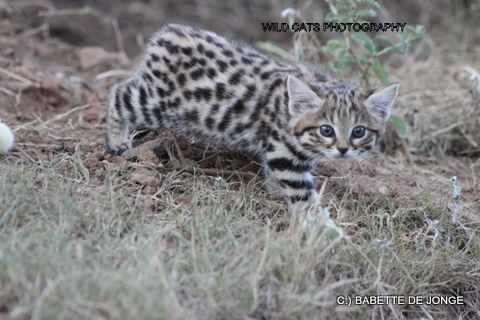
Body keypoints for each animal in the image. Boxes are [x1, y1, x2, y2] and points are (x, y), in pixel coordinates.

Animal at [107, 23, 400, 214]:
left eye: (358, 131)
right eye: (326, 130)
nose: (343, 150)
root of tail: (166, 33)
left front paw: (275, 190)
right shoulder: (282, 151)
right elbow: (302, 193)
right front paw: (318, 225)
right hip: (158, 103)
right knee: (119, 93)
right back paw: (117, 141)